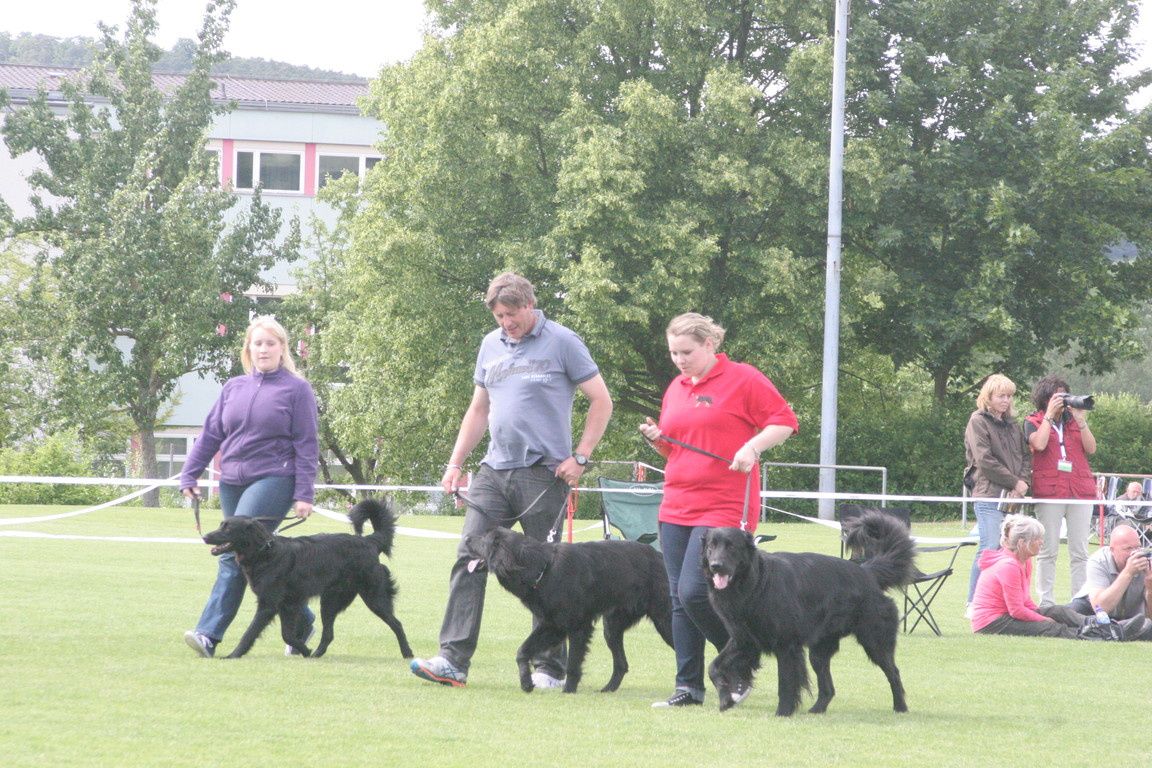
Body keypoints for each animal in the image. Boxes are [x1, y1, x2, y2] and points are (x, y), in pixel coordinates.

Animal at [201, 497, 414, 660]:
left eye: (228, 529)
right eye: (221, 525)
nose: (204, 537)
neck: (264, 551)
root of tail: (369, 541)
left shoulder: (269, 604)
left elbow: (250, 633)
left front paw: (233, 655)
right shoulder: (287, 604)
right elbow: (287, 635)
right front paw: (305, 650)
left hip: (373, 596)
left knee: (397, 623)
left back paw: (407, 653)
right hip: (330, 601)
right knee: (328, 634)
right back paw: (316, 654)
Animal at [464, 527, 674, 693]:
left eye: (483, 538)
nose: (465, 537)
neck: (542, 568)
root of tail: (661, 557)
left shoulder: (578, 626)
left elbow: (573, 664)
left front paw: (568, 691)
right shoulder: (552, 625)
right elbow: (522, 651)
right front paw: (526, 683)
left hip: (666, 622)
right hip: (612, 627)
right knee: (621, 665)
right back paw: (608, 689)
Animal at [703, 511, 916, 716]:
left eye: (732, 547)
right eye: (711, 547)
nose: (715, 566)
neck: (756, 582)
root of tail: (867, 571)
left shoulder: (786, 646)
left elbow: (786, 683)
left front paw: (783, 712)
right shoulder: (744, 639)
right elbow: (713, 667)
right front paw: (726, 698)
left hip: (875, 642)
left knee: (894, 673)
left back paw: (900, 707)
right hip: (819, 652)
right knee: (828, 689)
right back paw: (817, 709)